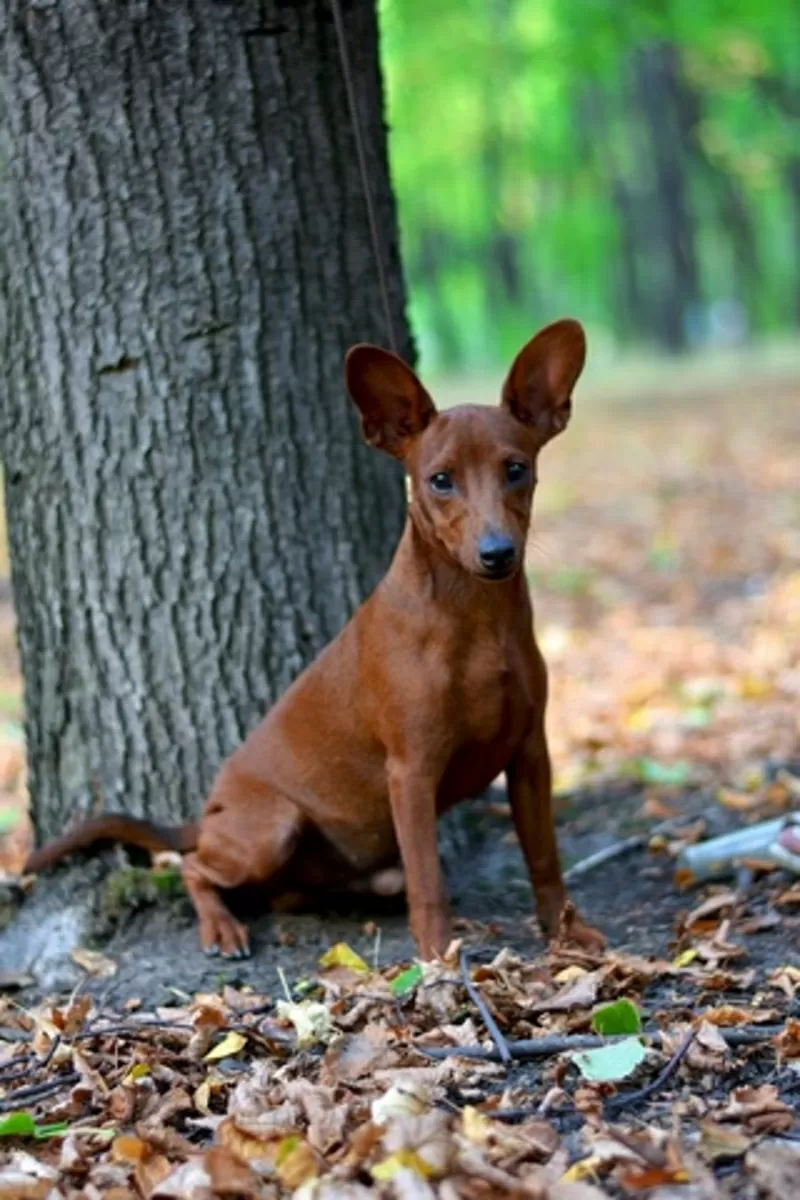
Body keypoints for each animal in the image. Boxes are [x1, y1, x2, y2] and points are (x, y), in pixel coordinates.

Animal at [28, 319, 606, 955]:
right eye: (440, 480)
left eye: (516, 469)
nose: (497, 553)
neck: (477, 619)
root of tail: (208, 813)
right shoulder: (412, 771)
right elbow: (430, 881)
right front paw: (436, 958)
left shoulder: (530, 755)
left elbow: (545, 861)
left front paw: (567, 934)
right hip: (271, 827)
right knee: (194, 868)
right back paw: (221, 925)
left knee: (313, 889)